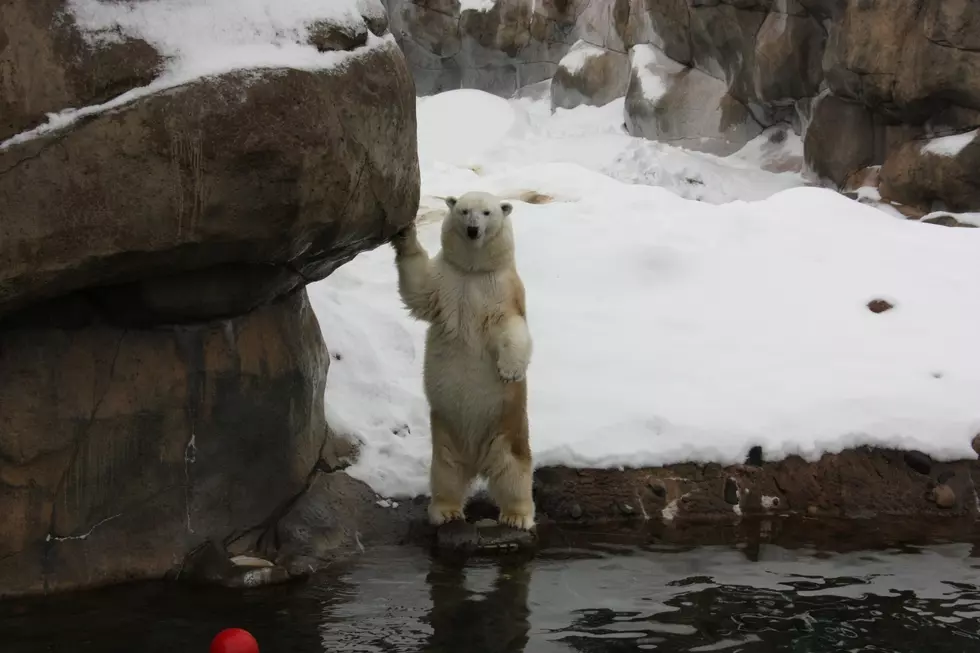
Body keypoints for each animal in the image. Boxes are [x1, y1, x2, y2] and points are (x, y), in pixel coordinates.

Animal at [388, 188, 532, 528]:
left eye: (488, 212)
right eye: (464, 211)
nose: (472, 230)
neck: (473, 271)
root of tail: (478, 461)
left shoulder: (502, 290)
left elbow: (512, 327)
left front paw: (510, 371)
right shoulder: (446, 281)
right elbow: (419, 289)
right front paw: (404, 233)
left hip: (507, 432)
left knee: (514, 474)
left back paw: (517, 516)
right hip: (446, 439)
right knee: (446, 475)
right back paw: (447, 512)